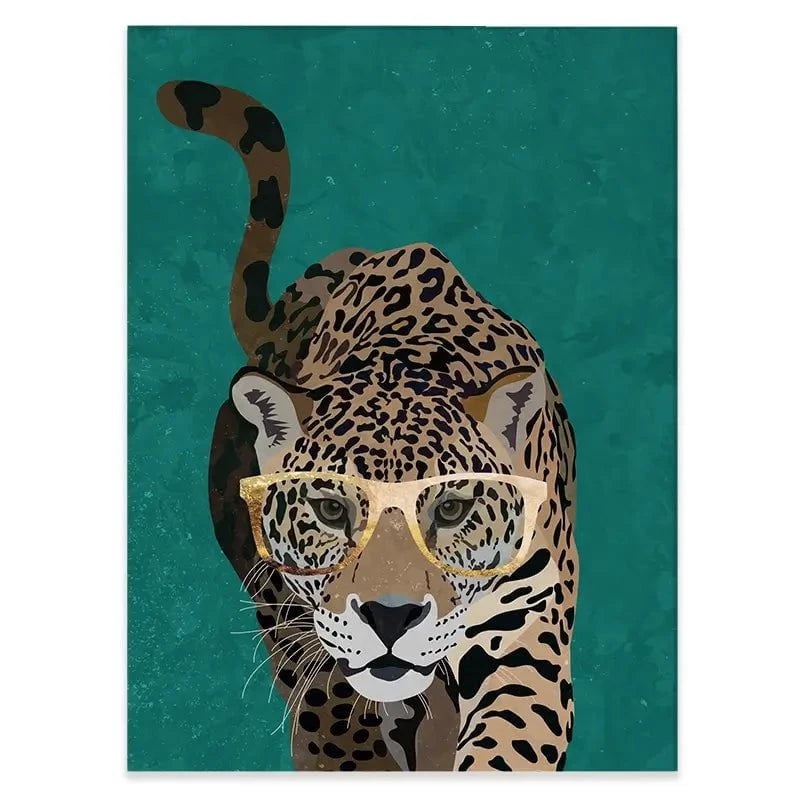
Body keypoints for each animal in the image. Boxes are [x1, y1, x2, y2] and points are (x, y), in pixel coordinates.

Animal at [156, 80, 578, 772]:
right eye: (330, 510)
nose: (390, 618)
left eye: (453, 509)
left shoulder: (526, 626)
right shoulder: (309, 633)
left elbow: (510, 743)